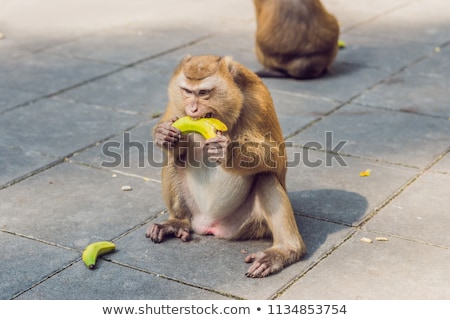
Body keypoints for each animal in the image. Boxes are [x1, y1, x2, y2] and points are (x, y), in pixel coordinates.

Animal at [146, 55, 308, 278]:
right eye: (187, 91)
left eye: (203, 93)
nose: (192, 109)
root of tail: (208, 224)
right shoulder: (176, 105)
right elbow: (174, 149)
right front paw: (164, 135)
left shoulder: (258, 101)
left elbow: (276, 158)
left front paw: (227, 151)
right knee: (172, 162)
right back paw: (178, 222)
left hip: (248, 224)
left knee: (265, 177)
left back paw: (285, 250)